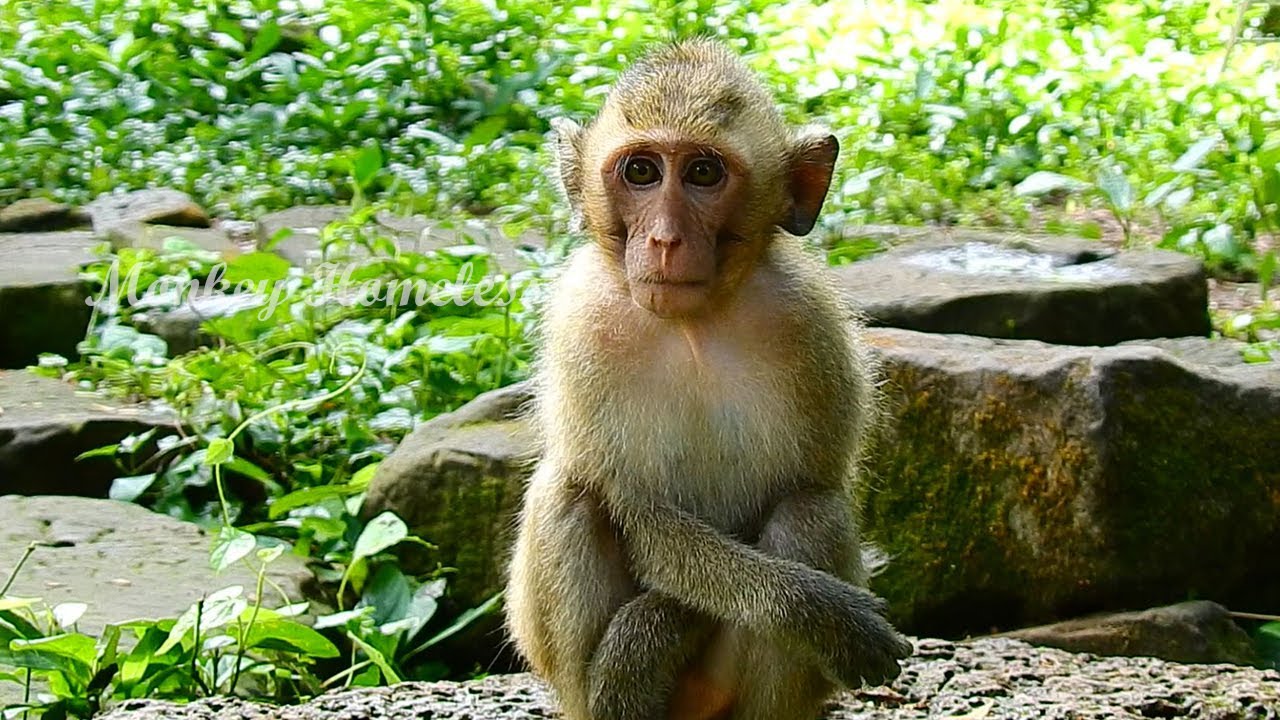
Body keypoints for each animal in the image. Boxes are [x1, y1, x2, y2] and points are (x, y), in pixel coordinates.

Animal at [504, 39, 913, 720]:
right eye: (641, 172)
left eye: (702, 173)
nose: (665, 240)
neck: (692, 326)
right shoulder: (581, 326)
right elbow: (637, 513)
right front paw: (814, 609)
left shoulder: (817, 332)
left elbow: (814, 485)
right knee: (572, 493)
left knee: (811, 512)